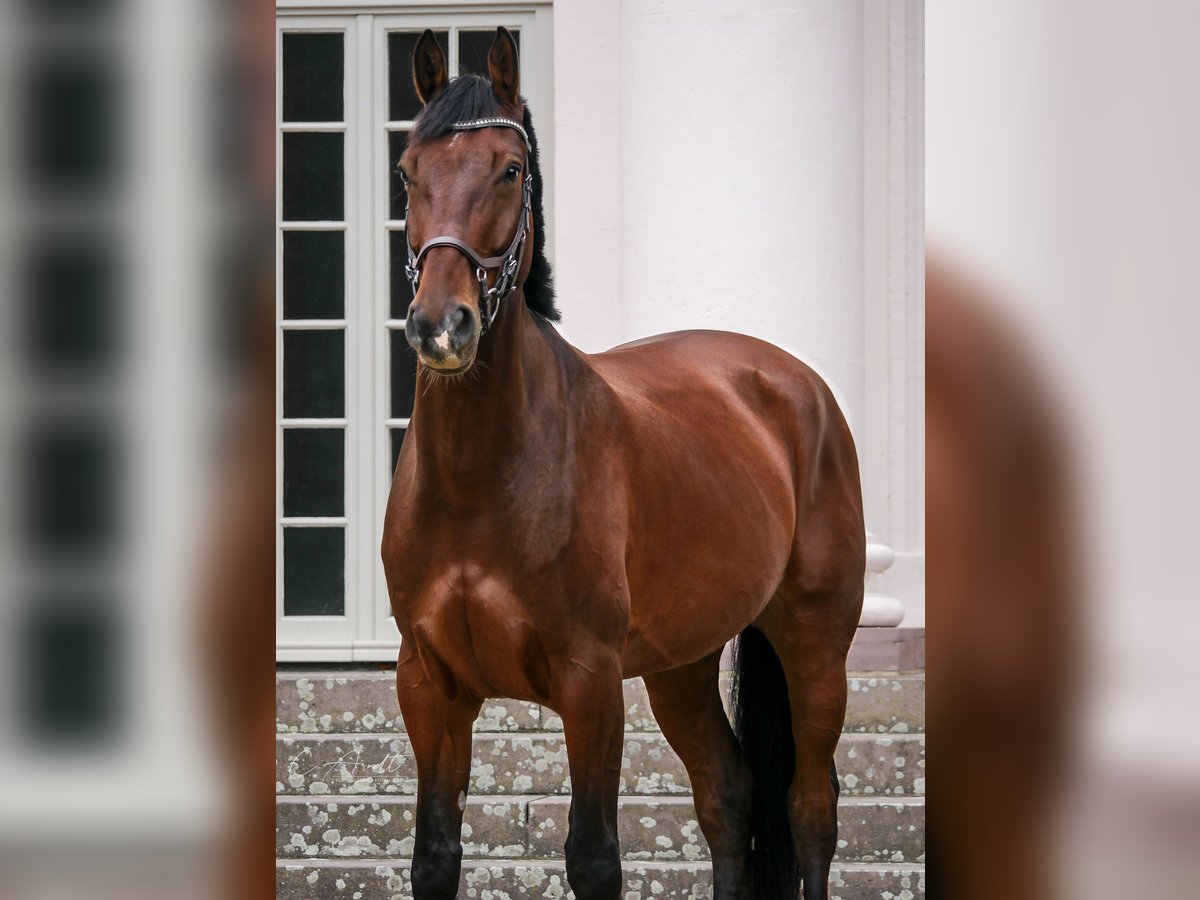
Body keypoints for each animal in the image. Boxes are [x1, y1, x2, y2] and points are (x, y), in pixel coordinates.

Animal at [384, 28, 864, 900]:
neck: (480, 482)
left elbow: (594, 859)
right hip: (682, 665)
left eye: (510, 168)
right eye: (408, 171)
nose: (441, 327)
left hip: (816, 645)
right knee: (727, 796)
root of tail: (792, 381)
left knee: (811, 806)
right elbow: (434, 857)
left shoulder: (590, 681)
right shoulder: (428, 683)